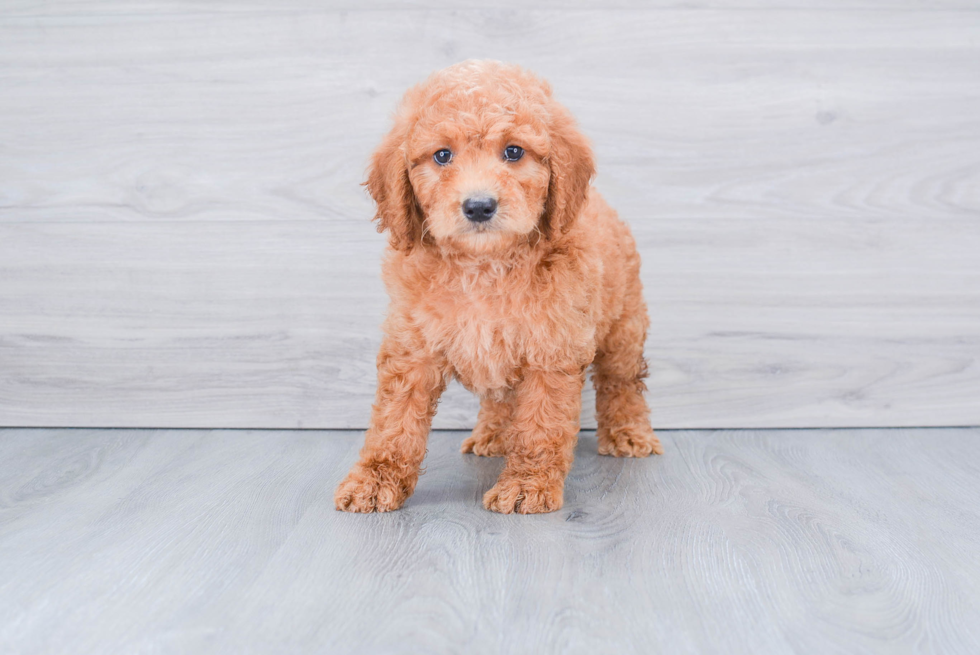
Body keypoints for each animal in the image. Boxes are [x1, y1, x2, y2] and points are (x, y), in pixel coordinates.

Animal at [334, 59, 664, 516]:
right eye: (442, 155)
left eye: (514, 152)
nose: (479, 206)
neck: (484, 265)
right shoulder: (412, 346)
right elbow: (394, 422)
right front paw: (374, 478)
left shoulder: (551, 350)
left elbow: (540, 424)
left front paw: (527, 484)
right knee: (499, 397)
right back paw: (492, 435)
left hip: (624, 324)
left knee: (622, 381)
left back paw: (629, 432)